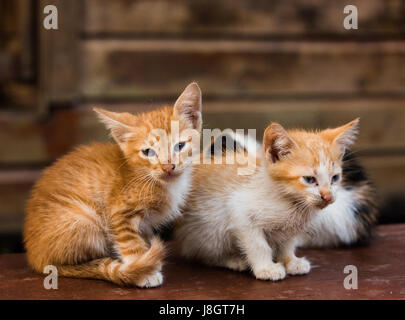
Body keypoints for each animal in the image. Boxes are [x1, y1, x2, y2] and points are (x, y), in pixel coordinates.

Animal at [24, 82, 201, 288]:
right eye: (148, 152)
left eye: (180, 146)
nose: (168, 167)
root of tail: (36, 258)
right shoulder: (119, 212)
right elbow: (130, 243)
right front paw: (143, 269)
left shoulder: (145, 224)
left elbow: (144, 238)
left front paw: (148, 259)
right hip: (86, 219)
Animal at [174, 119, 360, 278]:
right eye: (309, 179)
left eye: (335, 178)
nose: (328, 197)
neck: (289, 202)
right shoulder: (239, 211)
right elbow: (258, 245)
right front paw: (266, 268)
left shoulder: (290, 229)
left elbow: (288, 243)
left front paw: (290, 261)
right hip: (209, 231)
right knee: (201, 253)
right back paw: (233, 260)